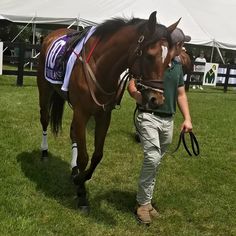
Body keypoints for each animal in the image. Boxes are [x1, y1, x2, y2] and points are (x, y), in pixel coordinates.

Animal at [37, 11, 178, 210]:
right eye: (150, 55)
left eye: (170, 61)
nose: (156, 100)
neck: (100, 66)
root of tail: (51, 35)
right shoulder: (82, 113)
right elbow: (84, 157)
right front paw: (81, 192)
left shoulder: (103, 115)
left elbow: (97, 155)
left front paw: (80, 177)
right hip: (45, 90)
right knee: (45, 119)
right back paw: (44, 152)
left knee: (73, 134)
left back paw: (73, 169)